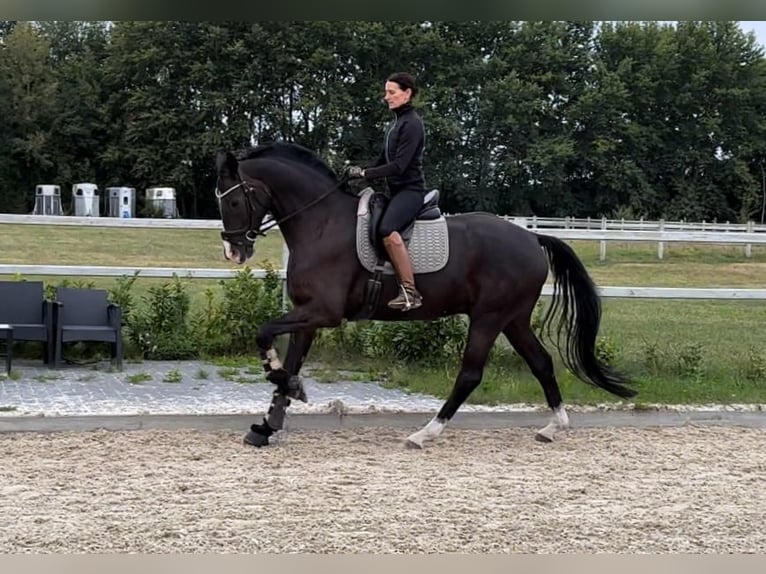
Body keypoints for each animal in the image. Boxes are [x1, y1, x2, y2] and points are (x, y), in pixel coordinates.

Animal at [216, 143, 636, 450]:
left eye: (234, 201)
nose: (234, 251)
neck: (322, 224)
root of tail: (532, 237)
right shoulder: (307, 312)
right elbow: (290, 360)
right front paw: (269, 422)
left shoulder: (324, 312)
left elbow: (264, 333)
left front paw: (279, 382)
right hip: (512, 319)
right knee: (542, 362)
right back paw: (554, 426)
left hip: (489, 318)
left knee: (470, 374)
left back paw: (424, 433)